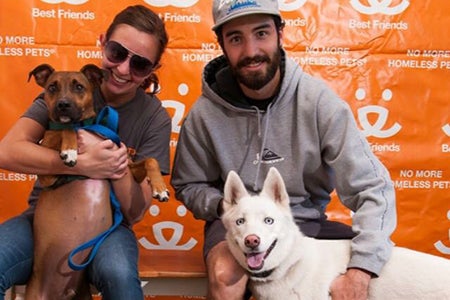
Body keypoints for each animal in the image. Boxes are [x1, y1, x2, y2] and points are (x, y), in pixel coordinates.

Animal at [26, 63, 170, 300]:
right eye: (52, 87)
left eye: (79, 86)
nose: (63, 105)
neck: (85, 125)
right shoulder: (48, 176)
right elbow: (67, 129)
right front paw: (70, 150)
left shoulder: (125, 166)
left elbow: (152, 159)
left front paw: (160, 188)